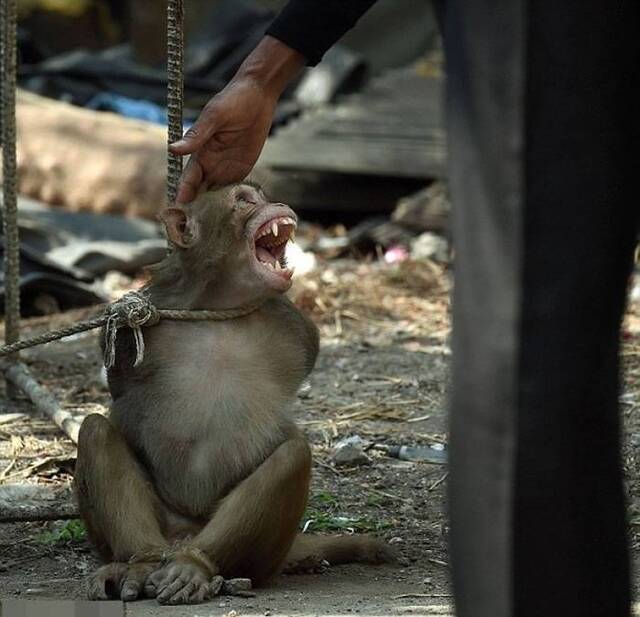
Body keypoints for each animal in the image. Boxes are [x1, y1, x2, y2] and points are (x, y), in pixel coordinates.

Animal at [76, 182, 396, 600]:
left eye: (263, 195)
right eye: (244, 200)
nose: (276, 204)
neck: (218, 304)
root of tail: (183, 537)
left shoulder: (296, 325)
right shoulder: (136, 324)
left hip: (261, 555)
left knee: (293, 455)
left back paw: (195, 565)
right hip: (162, 523)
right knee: (95, 431)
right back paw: (140, 562)